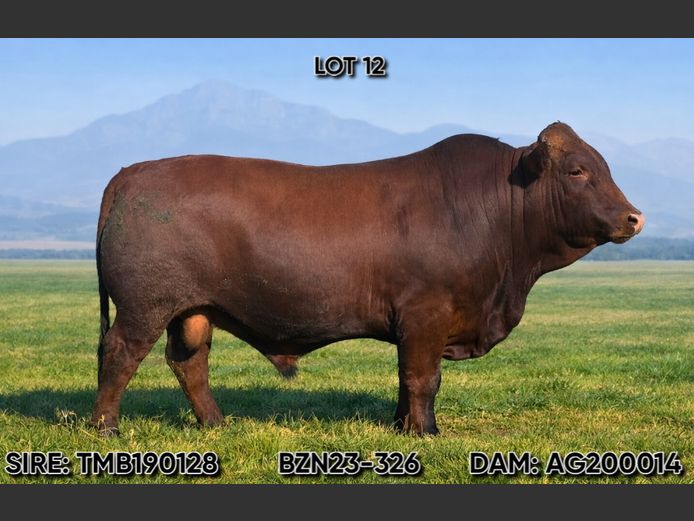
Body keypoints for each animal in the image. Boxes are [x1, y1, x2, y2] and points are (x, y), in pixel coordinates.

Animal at [91, 122, 644, 436]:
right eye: (577, 171)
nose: (634, 217)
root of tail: (133, 172)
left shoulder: (417, 325)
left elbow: (407, 379)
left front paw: (404, 428)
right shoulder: (426, 315)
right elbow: (423, 378)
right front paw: (425, 433)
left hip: (192, 310)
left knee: (189, 364)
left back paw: (217, 425)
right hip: (145, 306)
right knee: (119, 356)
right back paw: (106, 429)